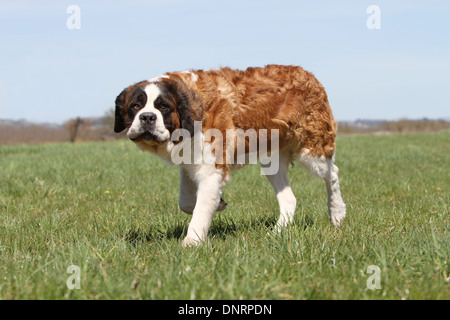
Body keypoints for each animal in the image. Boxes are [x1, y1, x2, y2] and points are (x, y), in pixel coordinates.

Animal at [114, 63, 346, 246]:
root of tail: (309, 75)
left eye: (163, 107)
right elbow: (186, 201)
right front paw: (219, 204)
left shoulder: (211, 170)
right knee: (290, 199)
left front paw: (191, 242)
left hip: (312, 152)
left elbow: (200, 210)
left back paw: (337, 213)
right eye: (135, 106)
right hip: (271, 161)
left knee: (332, 173)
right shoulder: (189, 163)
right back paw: (277, 232)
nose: (147, 117)